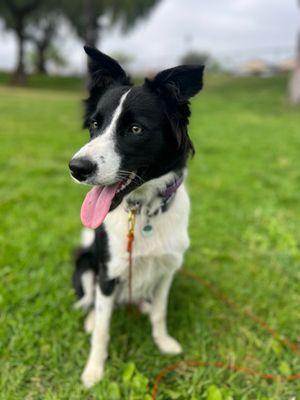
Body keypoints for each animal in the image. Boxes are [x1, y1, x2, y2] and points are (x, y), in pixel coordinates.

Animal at [68, 46, 204, 388]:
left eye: (135, 129)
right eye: (95, 124)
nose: (76, 168)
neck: (141, 212)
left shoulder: (168, 269)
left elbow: (160, 313)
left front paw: (164, 342)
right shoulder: (108, 272)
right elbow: (103, 330)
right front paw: (94, 371)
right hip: (86, 263)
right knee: (92, 301)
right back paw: (91, 319)